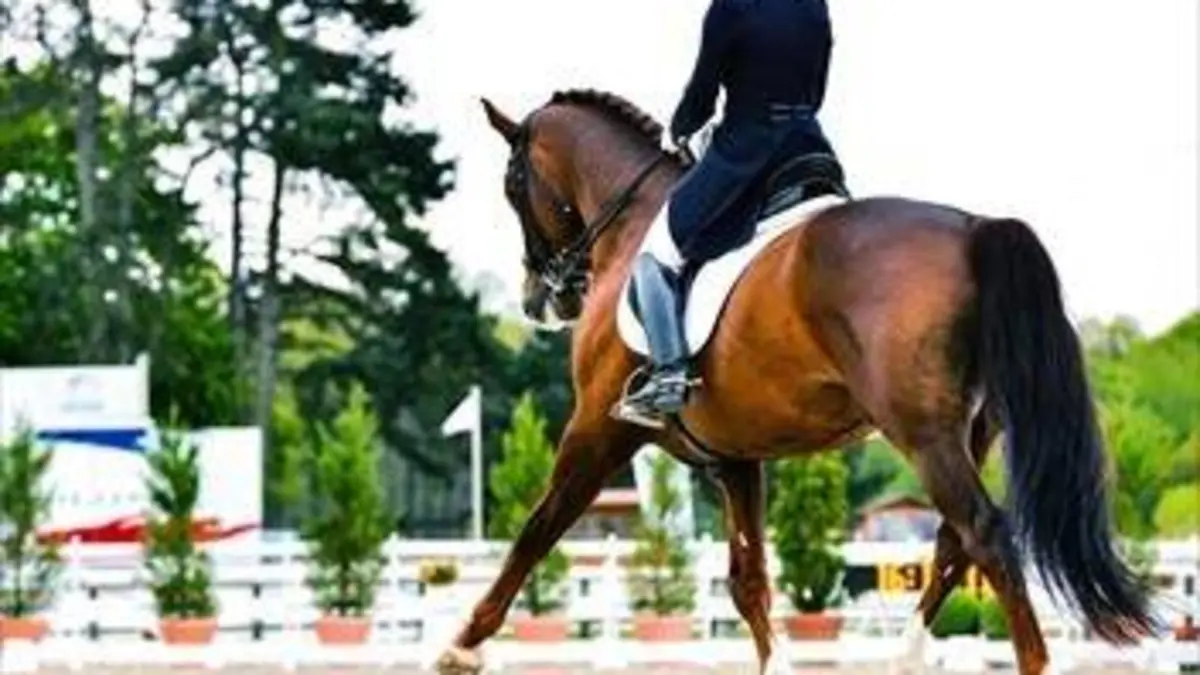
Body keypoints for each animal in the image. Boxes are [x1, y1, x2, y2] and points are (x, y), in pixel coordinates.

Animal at [434, 89, 1156, 675]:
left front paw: (460, 646)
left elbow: (536, 528)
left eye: (512, 184)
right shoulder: (733, 459)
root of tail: (975, 228)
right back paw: (906, 655)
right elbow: (747, 579)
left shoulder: (597, 429)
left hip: (922, 433)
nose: (541, 299)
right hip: (971, 430)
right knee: (954, 541)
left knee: (987, 535)